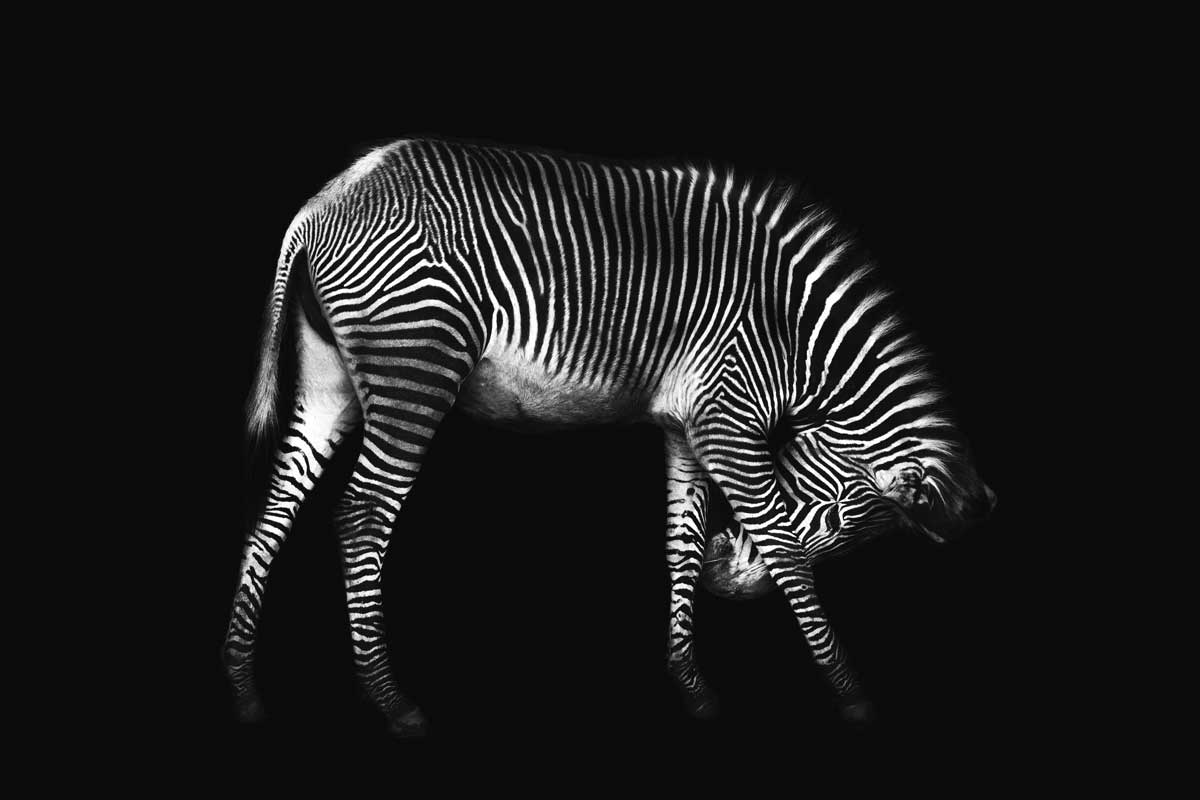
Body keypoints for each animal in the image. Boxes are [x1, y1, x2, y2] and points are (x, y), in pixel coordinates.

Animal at [223, 137, 996, 737]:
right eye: (840, 518)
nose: (726, 582)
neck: (793, 331)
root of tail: (328, 198)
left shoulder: (688, 425)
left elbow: (681, 541)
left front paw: (694, 689)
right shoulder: (729, 421)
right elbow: (781, 547)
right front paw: (851, 693)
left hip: (330, 378)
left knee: (275, 511)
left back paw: (242, 685)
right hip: (415, 366)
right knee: (361, 516)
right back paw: (393, 701)